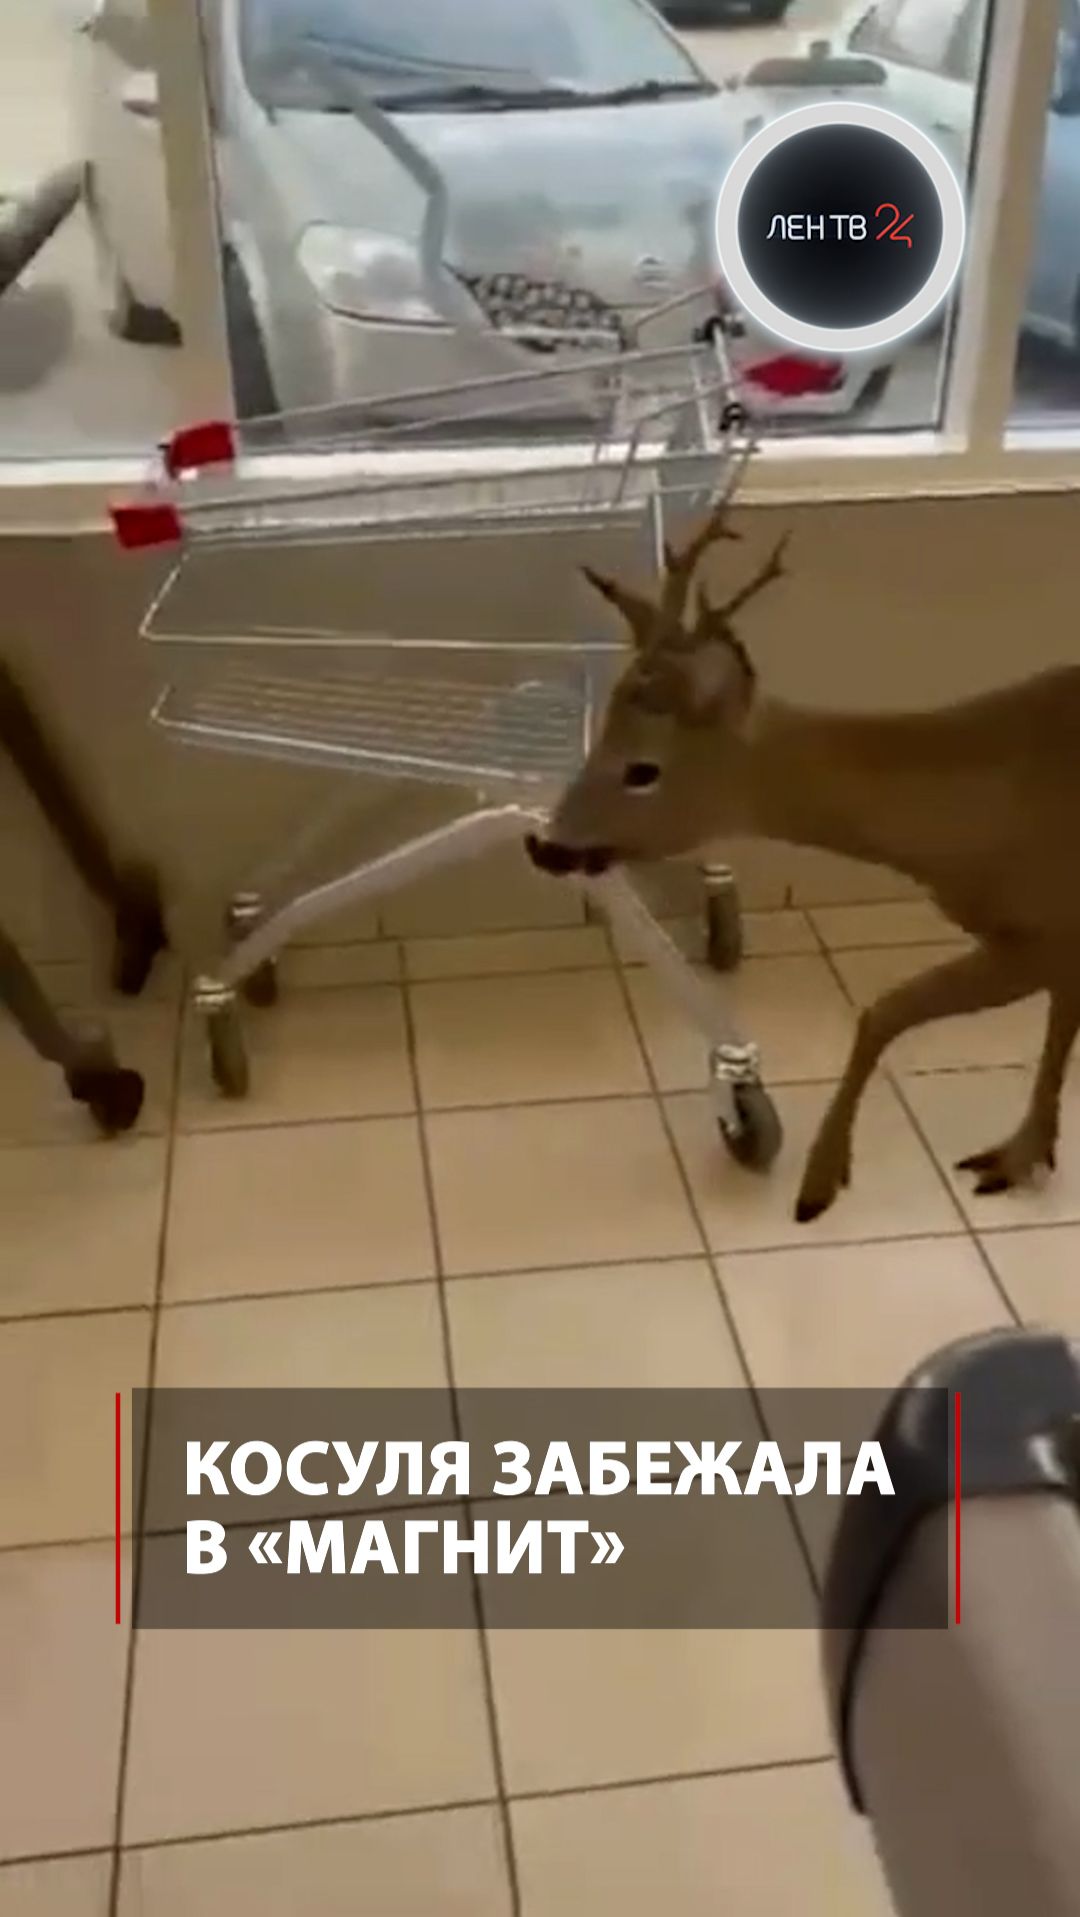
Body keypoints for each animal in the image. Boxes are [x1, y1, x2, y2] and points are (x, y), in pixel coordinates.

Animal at [526, 473, 1080, 1224]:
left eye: (643, 769)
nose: (546, 842)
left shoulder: (1050, 928)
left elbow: (883, 1010)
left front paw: (818, 1183)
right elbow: (1054, 1025)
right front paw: (1024, 1154)